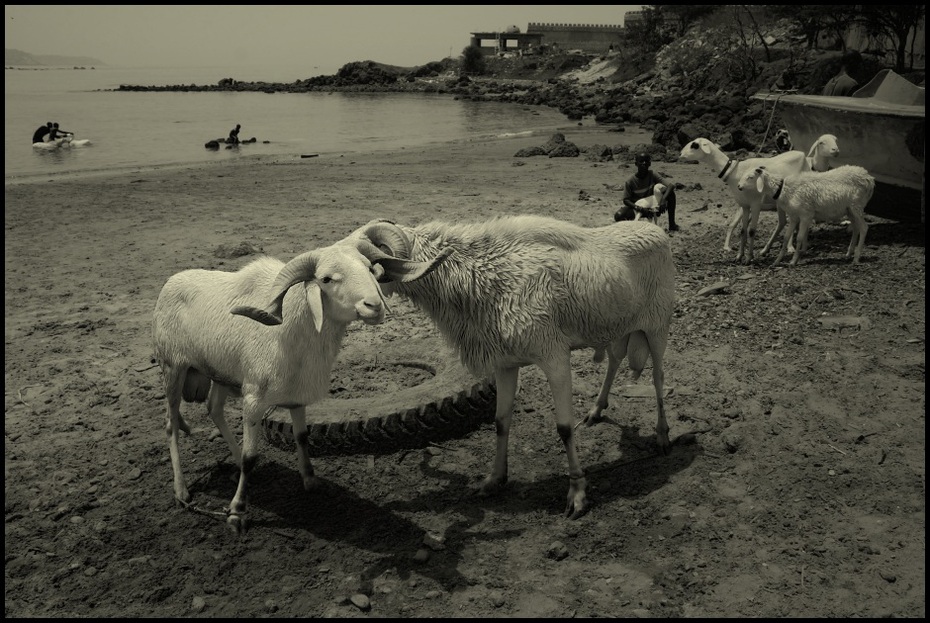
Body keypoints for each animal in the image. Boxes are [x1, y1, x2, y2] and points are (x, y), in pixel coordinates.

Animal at [153, 236, 450, 532]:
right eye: (326, 279)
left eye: (369, 267)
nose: (373, 306)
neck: (292, 334)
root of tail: (171, 282)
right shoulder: (253, 400)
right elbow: (251, 457)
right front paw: (237, 513)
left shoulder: (297, 397)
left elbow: (302, 437)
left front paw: (310, 481)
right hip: (173, 370)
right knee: (171, 425)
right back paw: (182, 492)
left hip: (220, 374)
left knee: (213, 409)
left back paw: (232, 461)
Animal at [254, 217, 676, 520]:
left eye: (369, 266)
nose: (370, 306)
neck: (480, 277)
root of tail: (655, 229)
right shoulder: (505, 363)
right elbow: (501, 422)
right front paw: (492, 482)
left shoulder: (554, 355)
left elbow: (563, 428)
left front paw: (576, 496)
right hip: (620, 327)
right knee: (616, 360)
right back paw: (598, 409)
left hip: (657, 327)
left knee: (658, 378)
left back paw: (662, 437)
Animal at [736, 165, 872, 264]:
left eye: (750, 177)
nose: (739, 186)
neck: (783, 188)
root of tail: (868, 177)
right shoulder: (793, 216)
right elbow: (786, 237)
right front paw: (777, 261)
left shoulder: (806, 215)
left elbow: (799, 238)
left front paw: (793, 261)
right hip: (850, 209)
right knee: (856, 228)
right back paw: (849, 253)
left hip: (857, 205)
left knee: (864, 228)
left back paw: (856, 258)